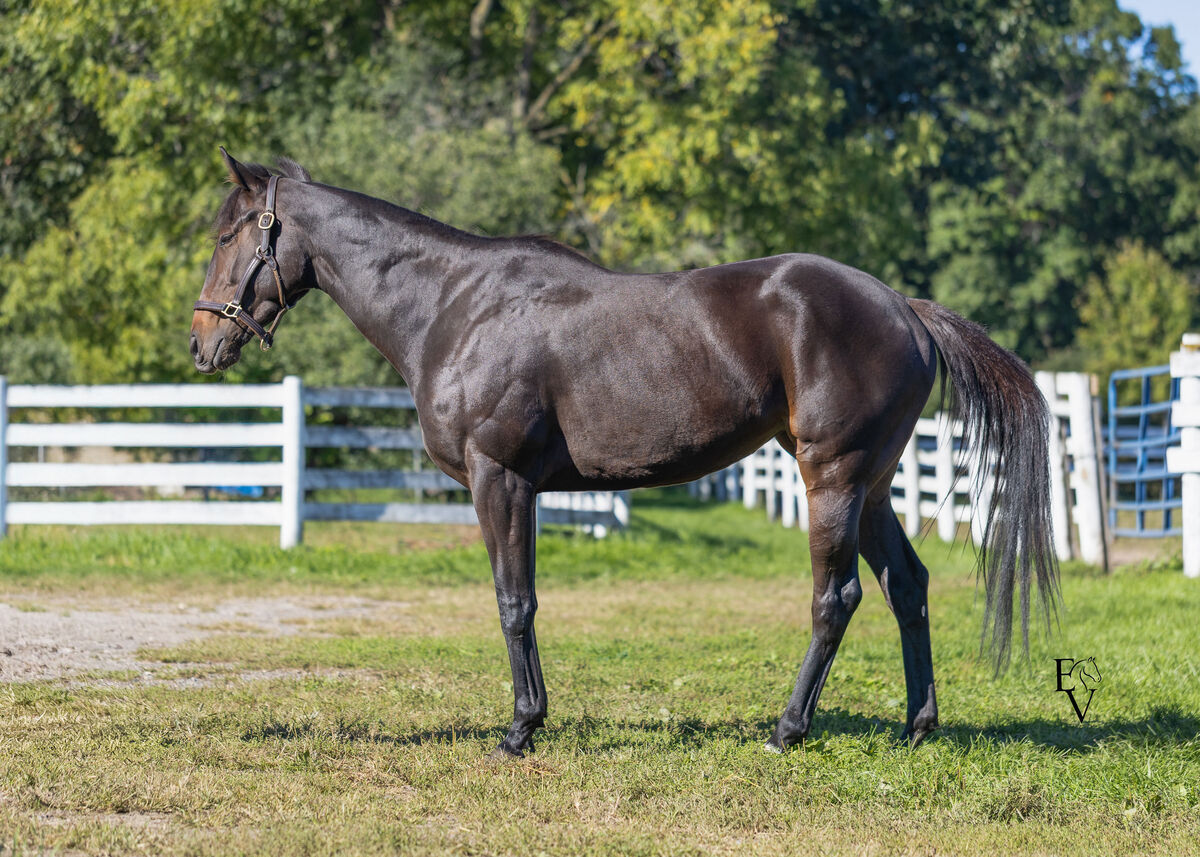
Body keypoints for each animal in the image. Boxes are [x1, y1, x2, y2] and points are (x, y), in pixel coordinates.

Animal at [191, 149, 1058, 757]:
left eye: (229, 233)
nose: (203, 340)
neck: (454, 305)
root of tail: (902, 307)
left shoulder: (499, 480)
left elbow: (513, 602)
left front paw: (520, 728)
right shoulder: (517, 487)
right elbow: (525, 601)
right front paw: (535, 717)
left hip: (835, 477)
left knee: (835, 597)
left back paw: (787, 729)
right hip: (873, 486)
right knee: (906, 585)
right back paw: (917, 725)